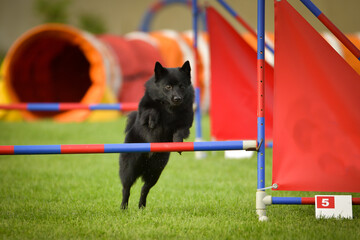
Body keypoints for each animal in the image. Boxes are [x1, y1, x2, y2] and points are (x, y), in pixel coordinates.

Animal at [119, 61, 194, 209]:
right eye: (168, 87)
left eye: (182, 86)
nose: (177, 98)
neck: (170, 108)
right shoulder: (145, 108)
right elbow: (152, 110)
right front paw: (153, 122)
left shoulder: (186, 120)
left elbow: (180, 131)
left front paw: (178, 143)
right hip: (130, 168)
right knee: (126, 188)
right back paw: (123, 208)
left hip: (155, 170)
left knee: (144, 188)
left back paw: (141, 207)